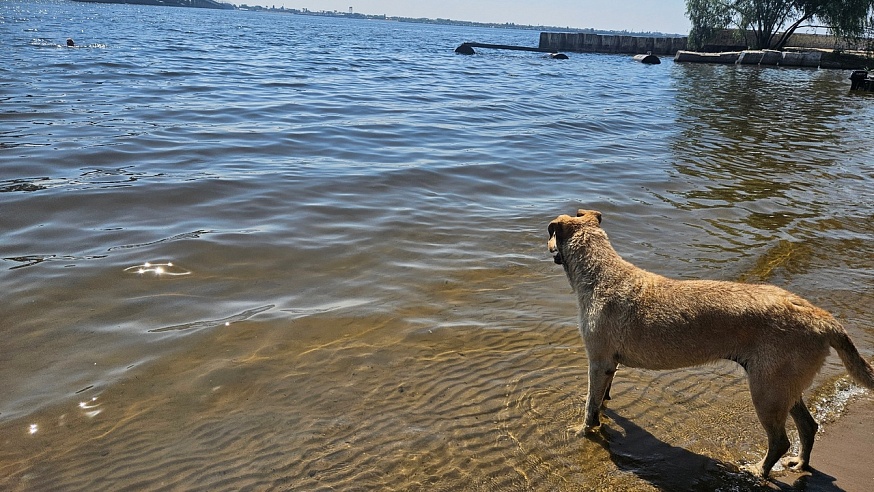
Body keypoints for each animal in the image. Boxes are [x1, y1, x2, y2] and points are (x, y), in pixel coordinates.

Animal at [544, 209, 872, 478]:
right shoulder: (608, 363)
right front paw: (603, 410)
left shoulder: (598, 360)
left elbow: (590, 406)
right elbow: (601, 398)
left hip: (767, 389)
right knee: (808, 426)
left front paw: (583, 429)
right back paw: (800, 463)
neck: (601, 271)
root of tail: (822, 318)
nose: (544, 245)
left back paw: (758, 471)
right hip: (784, 385)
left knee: (780, 440)